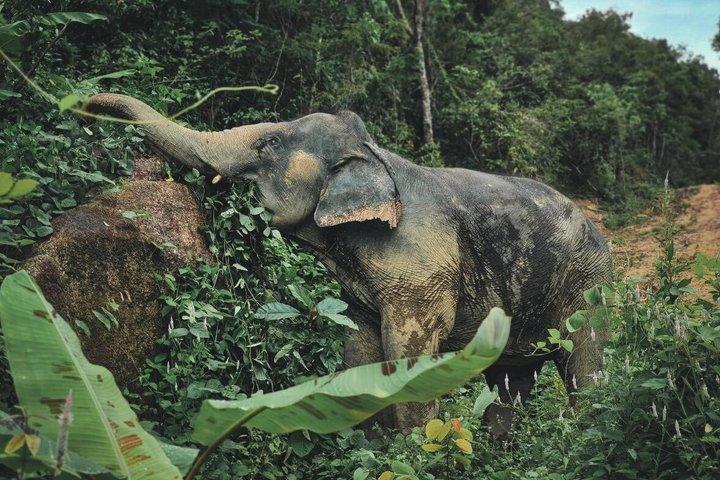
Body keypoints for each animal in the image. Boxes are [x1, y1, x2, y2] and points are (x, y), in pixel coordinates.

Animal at [84, 94, 612, 436]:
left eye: (268, 145)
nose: (88, 99)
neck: (375, 155)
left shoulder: (421, 264)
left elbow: (410, 352)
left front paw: (415, 453)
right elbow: (358, 348)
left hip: (588, 285)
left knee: (585, 368)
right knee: (509, 383)